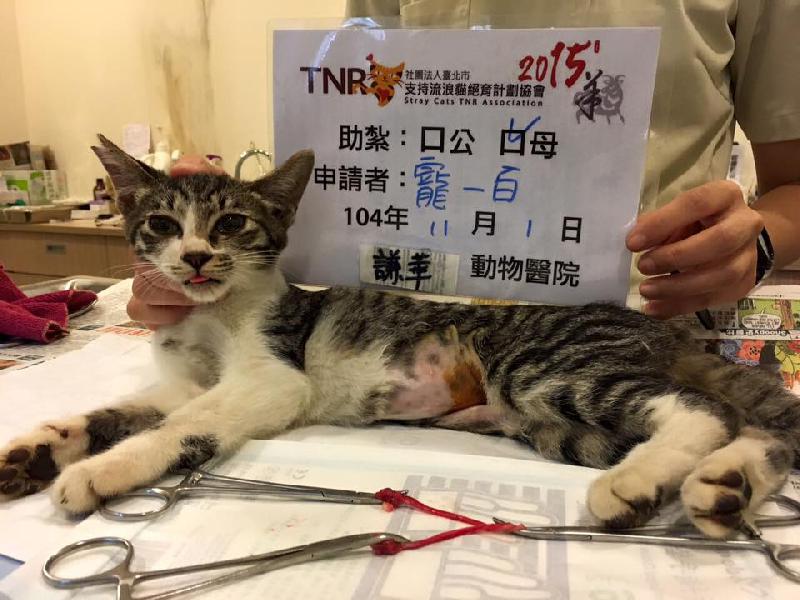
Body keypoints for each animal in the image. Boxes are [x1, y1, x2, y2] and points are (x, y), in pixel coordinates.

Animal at [0, 134, 797, 539]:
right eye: (162, 225)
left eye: (230, 225)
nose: (194, 258)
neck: (212, 314)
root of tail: (648, 324)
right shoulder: (176, 381)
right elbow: (127, 409)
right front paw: (37, 450)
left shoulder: (272, 378)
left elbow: (186, 423)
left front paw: (98, 472)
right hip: (536, 418)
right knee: (763, 426)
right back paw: (725, 488)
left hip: (542, 369)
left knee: (709, 409)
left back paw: (638, 483)